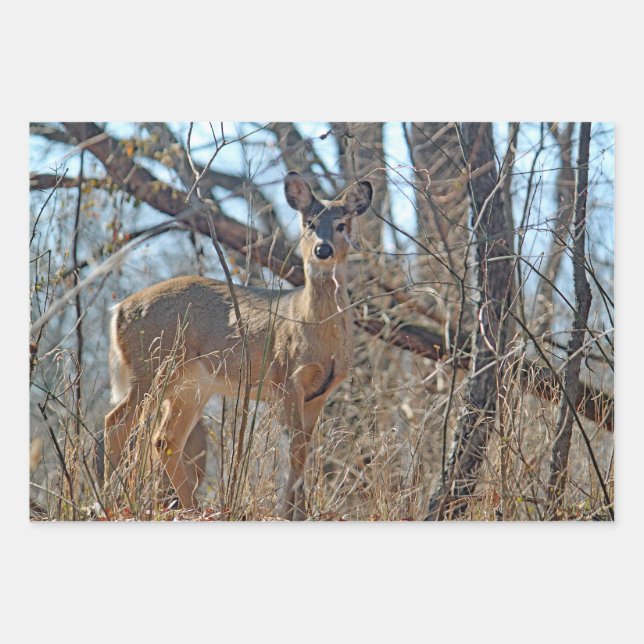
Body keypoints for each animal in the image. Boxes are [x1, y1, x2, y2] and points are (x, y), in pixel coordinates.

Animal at [104, 171, 373, 520]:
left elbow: (304, 450)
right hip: (151, 366)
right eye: (309, 222)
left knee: (164, 439)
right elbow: (294, 449)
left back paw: (192, 509)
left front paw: (300, 511)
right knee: (116, 424)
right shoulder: (287, 378)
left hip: (191, 385)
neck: (313, 326)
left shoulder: (320, 393)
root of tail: (119, 310)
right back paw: (109, 501)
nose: (322, 250)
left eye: (341, 224)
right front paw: (288, 513)